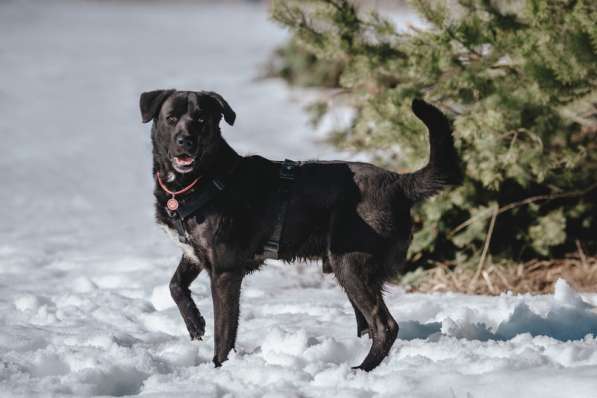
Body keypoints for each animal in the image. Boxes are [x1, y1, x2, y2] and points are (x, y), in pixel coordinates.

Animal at [140, 88, 460, 372]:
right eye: (171, 118)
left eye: (201, 119)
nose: (185, 141)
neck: (202, 181)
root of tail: (398, 182)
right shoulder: (193, 253)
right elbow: (175, 285)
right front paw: (195, 324)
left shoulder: (225, 272)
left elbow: (224, 331)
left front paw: (219, 367)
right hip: (346, 265)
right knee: (367, 324)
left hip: (351, 265)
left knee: (385, 325)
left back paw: (362, 369)